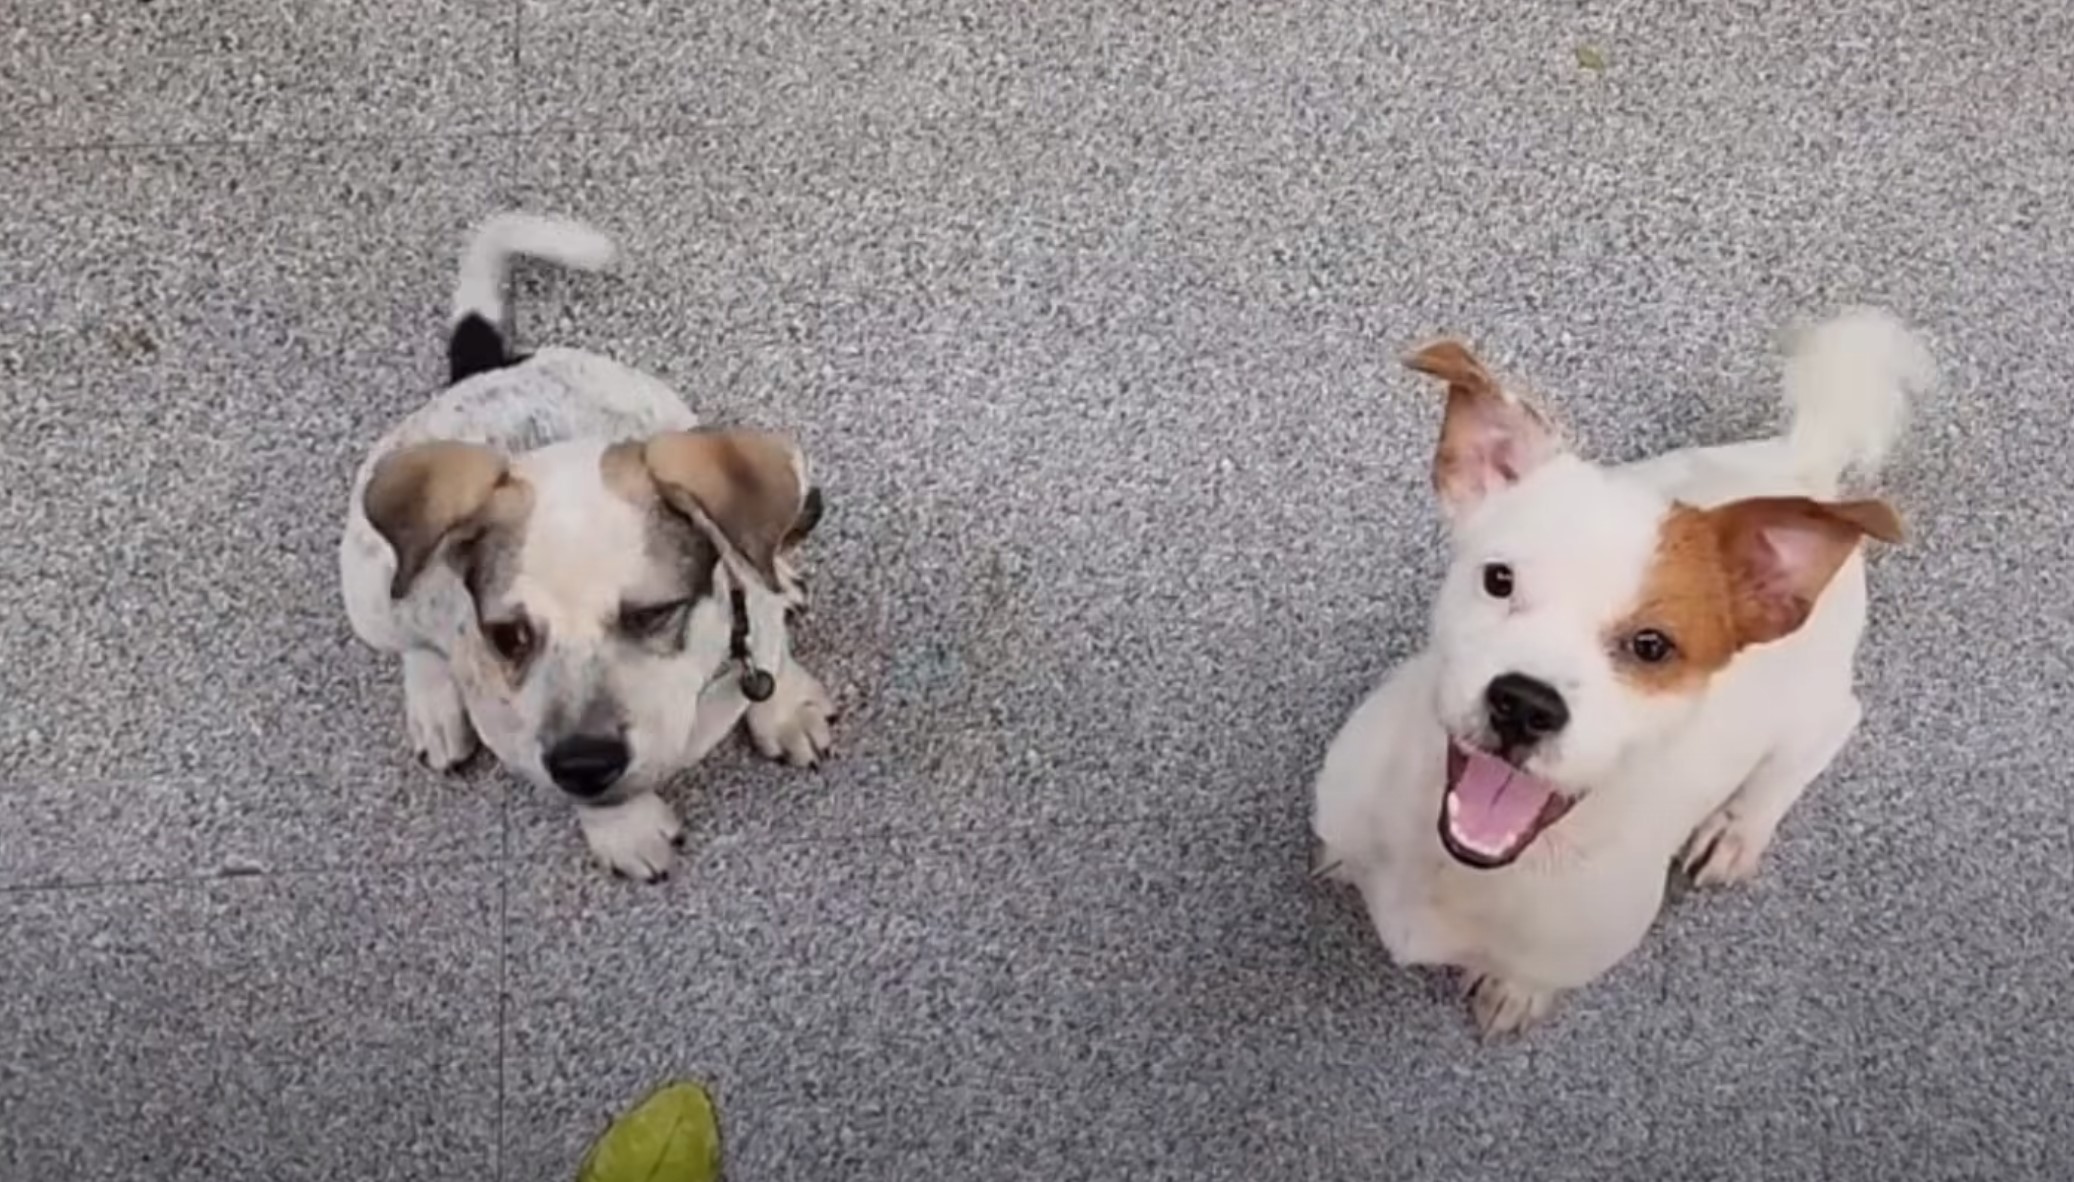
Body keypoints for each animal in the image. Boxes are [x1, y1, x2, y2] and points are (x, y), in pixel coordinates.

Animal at [335, 211, 829, 879]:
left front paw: (788, 710)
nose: (585, 762)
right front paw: (625, 828)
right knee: (411, 638)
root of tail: (484, 370)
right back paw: (435, 708)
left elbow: (772, 653)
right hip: (367, 586)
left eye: (652, 613)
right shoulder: (527, 743)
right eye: (508, 636)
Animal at [1310, 308, 1924, 1036]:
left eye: (1652, 646)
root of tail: (1805, 466)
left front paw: (1513, 993)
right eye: (1499, 579)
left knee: (1823, 735)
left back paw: (1737, 830)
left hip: (1812, 704)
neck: (1459, 867)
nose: (1525, 703)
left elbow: (1529, 977)